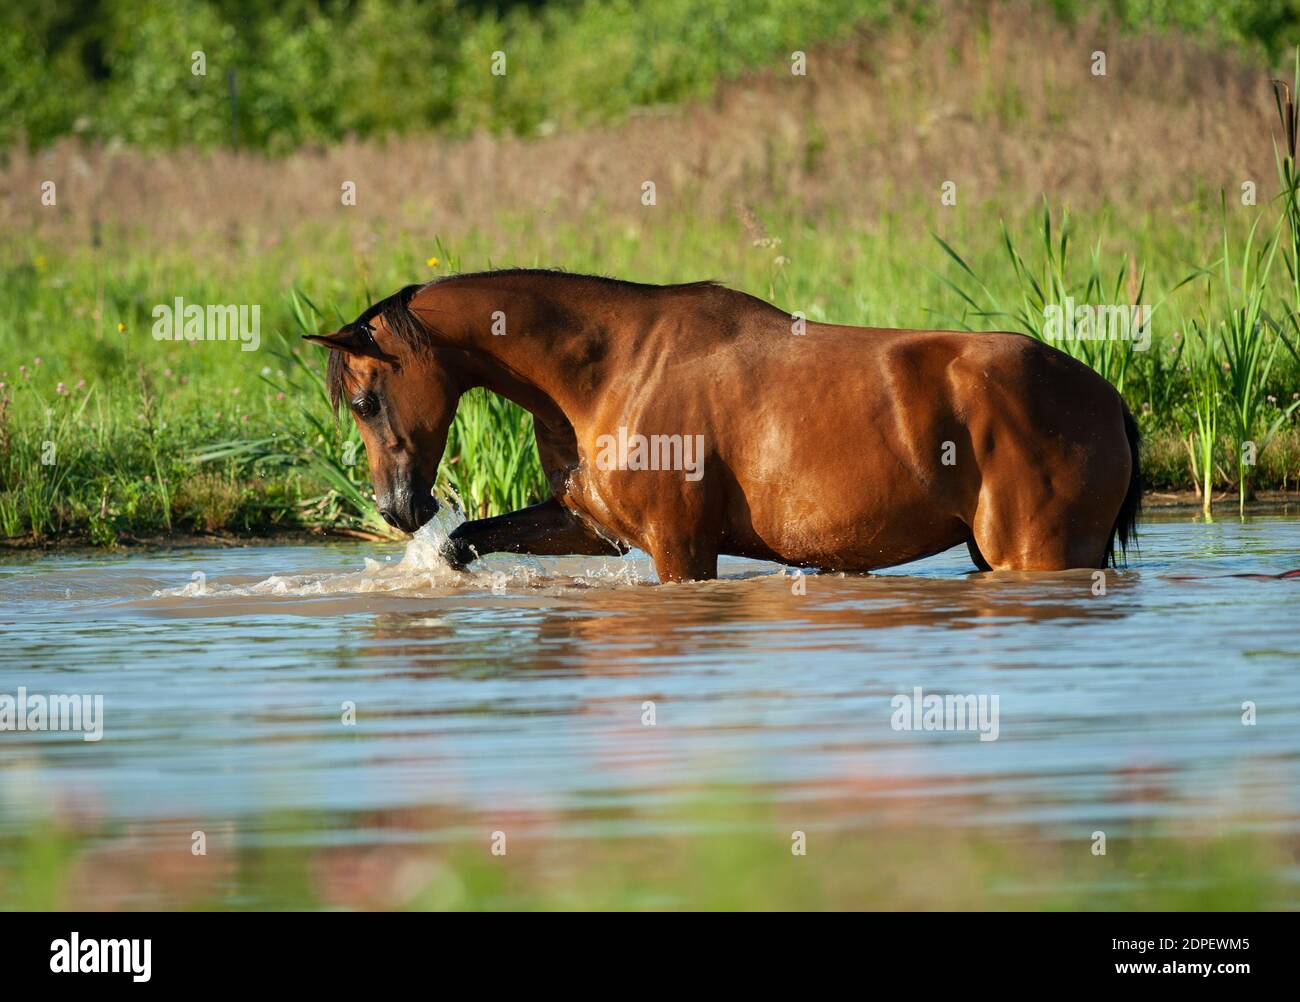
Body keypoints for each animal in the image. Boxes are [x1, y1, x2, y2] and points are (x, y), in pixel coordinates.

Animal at [304, 270, 1138, 584]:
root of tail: (1102, 395)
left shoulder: (680, 546)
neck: (615, 369)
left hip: (1035, 550)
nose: (399, 508)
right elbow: (465, 542)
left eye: (365, 400)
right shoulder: (588, 526)